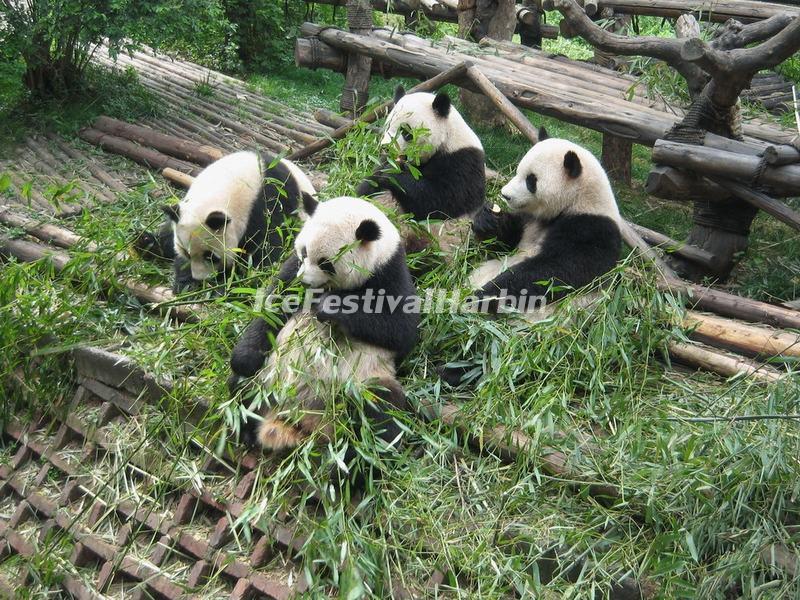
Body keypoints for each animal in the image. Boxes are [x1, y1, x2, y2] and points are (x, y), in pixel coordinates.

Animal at [142, 151, 315, 292]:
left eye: (211, 257)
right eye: (186, 253)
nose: (200, 278)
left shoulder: (270, 203)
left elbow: (264, 250)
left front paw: (226, 286)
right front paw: (186, 282)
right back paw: (146, 243)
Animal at [237, 195, 419, 464]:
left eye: (326, 263)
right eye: (304, 252)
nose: (305, 281)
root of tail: (302, 421)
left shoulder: (389, 273)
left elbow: (402, 330)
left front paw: (329, 307)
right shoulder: (292, 270)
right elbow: (272, 306)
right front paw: (243, 359)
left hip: (362, 383)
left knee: (380, 413)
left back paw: (351, 463)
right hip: (269, 375)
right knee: (243, 392)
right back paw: (247, 428)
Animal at [356, 87, 486, 256]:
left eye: (406, 132)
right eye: (387, 126)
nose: (386, 147)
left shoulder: (463, 162)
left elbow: (439, 201)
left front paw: (391, 174)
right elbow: (367, 188)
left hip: (437, 240)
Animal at [469, 129, 622, 313]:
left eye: (531, 180)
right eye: (518, 171)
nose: (505, 195)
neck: (577, 200)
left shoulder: (592, 228)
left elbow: (556, 271)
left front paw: (484, 294)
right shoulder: (530, 218)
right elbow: (504, 244)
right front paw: (488, 219)